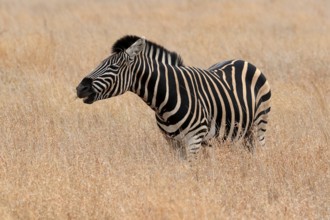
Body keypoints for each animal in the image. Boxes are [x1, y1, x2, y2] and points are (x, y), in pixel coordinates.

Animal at [76, 35, 270, 157]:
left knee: (259, 153)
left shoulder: (194, 138)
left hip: (258, 126)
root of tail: (243, 61)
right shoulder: (172, 142)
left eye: (114, 67)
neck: (165, 100)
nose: (80, 88)